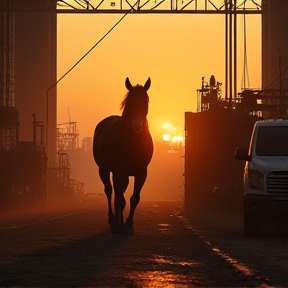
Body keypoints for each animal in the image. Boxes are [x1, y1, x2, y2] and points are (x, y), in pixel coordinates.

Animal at [93, 77, 154, 234]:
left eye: (146, 99)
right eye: (130, 100)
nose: (137, 125)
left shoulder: (142, 172)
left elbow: (134, 198)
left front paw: (129, 225)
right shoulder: (118, 170)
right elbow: (118, 197)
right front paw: (117, 225)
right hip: (104, 169)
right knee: (110, 191)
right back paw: (112, 219)